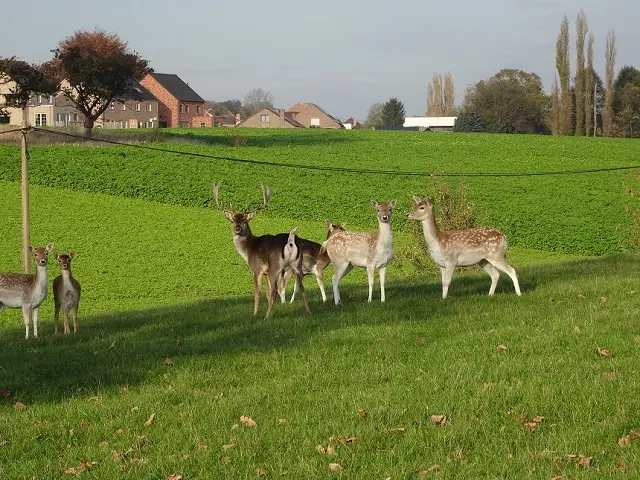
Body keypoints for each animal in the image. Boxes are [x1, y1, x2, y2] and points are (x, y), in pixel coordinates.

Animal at [214, 183, 312, 318]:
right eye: (232, 220)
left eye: (245, 220)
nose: (237, 229)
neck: (249, 250)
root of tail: (291, 241)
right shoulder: (266, 272)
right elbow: (267, 293)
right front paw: (270, 313)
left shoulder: (257, 269)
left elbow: (258, 292)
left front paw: (255, 313)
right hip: (297, 265)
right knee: (301, 288)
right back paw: (308, 312)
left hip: (276, 267)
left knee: (276, 291)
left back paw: (265, 317)